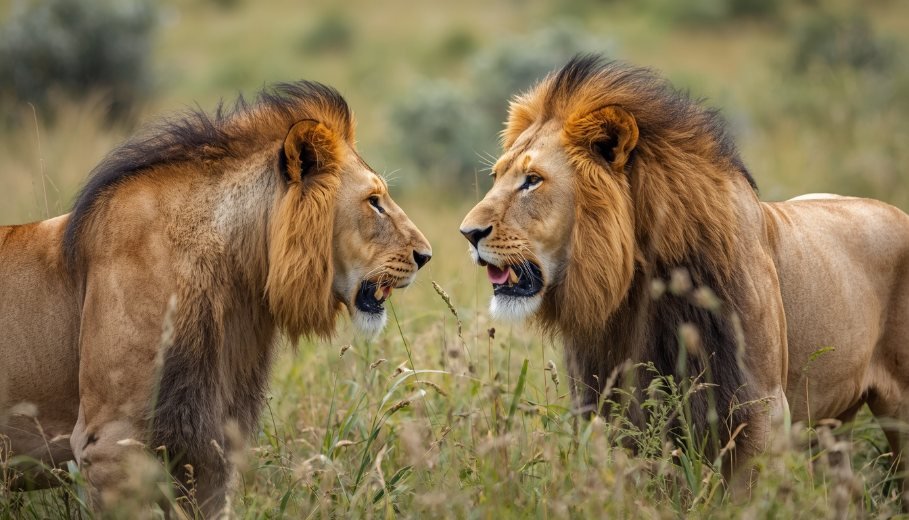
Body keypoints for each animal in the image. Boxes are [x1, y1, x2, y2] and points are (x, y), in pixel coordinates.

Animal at [460, 55, 909, 493]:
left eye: (532, 181)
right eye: (496, 177)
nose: (468, 233)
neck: (636, 289)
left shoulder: (759, 409)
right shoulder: (609, 410)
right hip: (831, 427)